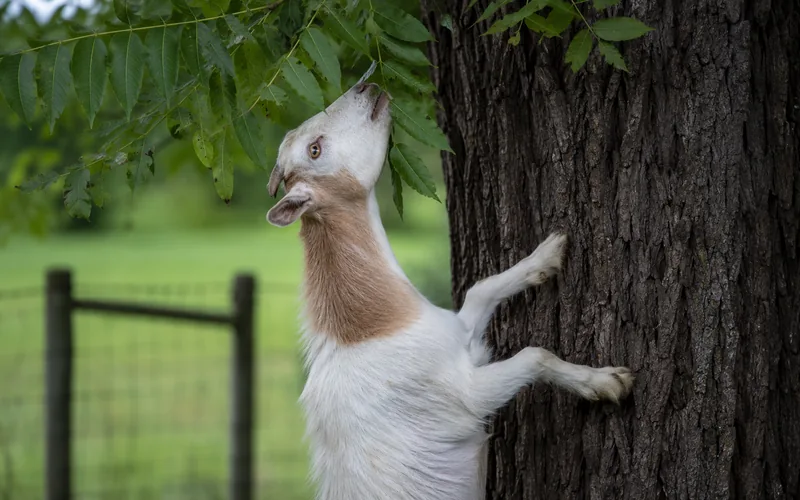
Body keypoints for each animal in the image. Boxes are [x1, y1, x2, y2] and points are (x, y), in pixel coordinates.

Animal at [265, 80, 634, 500]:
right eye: (315, 149)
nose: (365, 86)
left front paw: (548, 253)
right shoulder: (466, 394)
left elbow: (480, 289)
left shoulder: (463, 337)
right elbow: (534, 356)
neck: (372, 329)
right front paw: (608, 382)